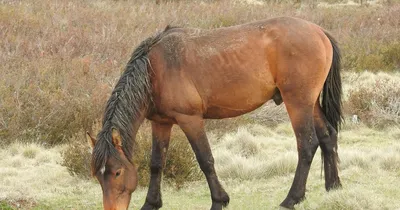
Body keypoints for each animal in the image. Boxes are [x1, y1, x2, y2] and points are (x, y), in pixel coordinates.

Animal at [87, 16, 344, 210]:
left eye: (117, 172)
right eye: (97, 175)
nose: (111, 209)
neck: (155, 70)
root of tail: (319, 31)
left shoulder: (190, 120)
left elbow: (205, 160)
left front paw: (219, 201)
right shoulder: (161, 123)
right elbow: (156, 163)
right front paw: (151, 204)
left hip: (298, 103)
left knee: (307, 144)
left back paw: (291, 199)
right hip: (311, 103)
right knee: (327, 136)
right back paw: (333, 188)